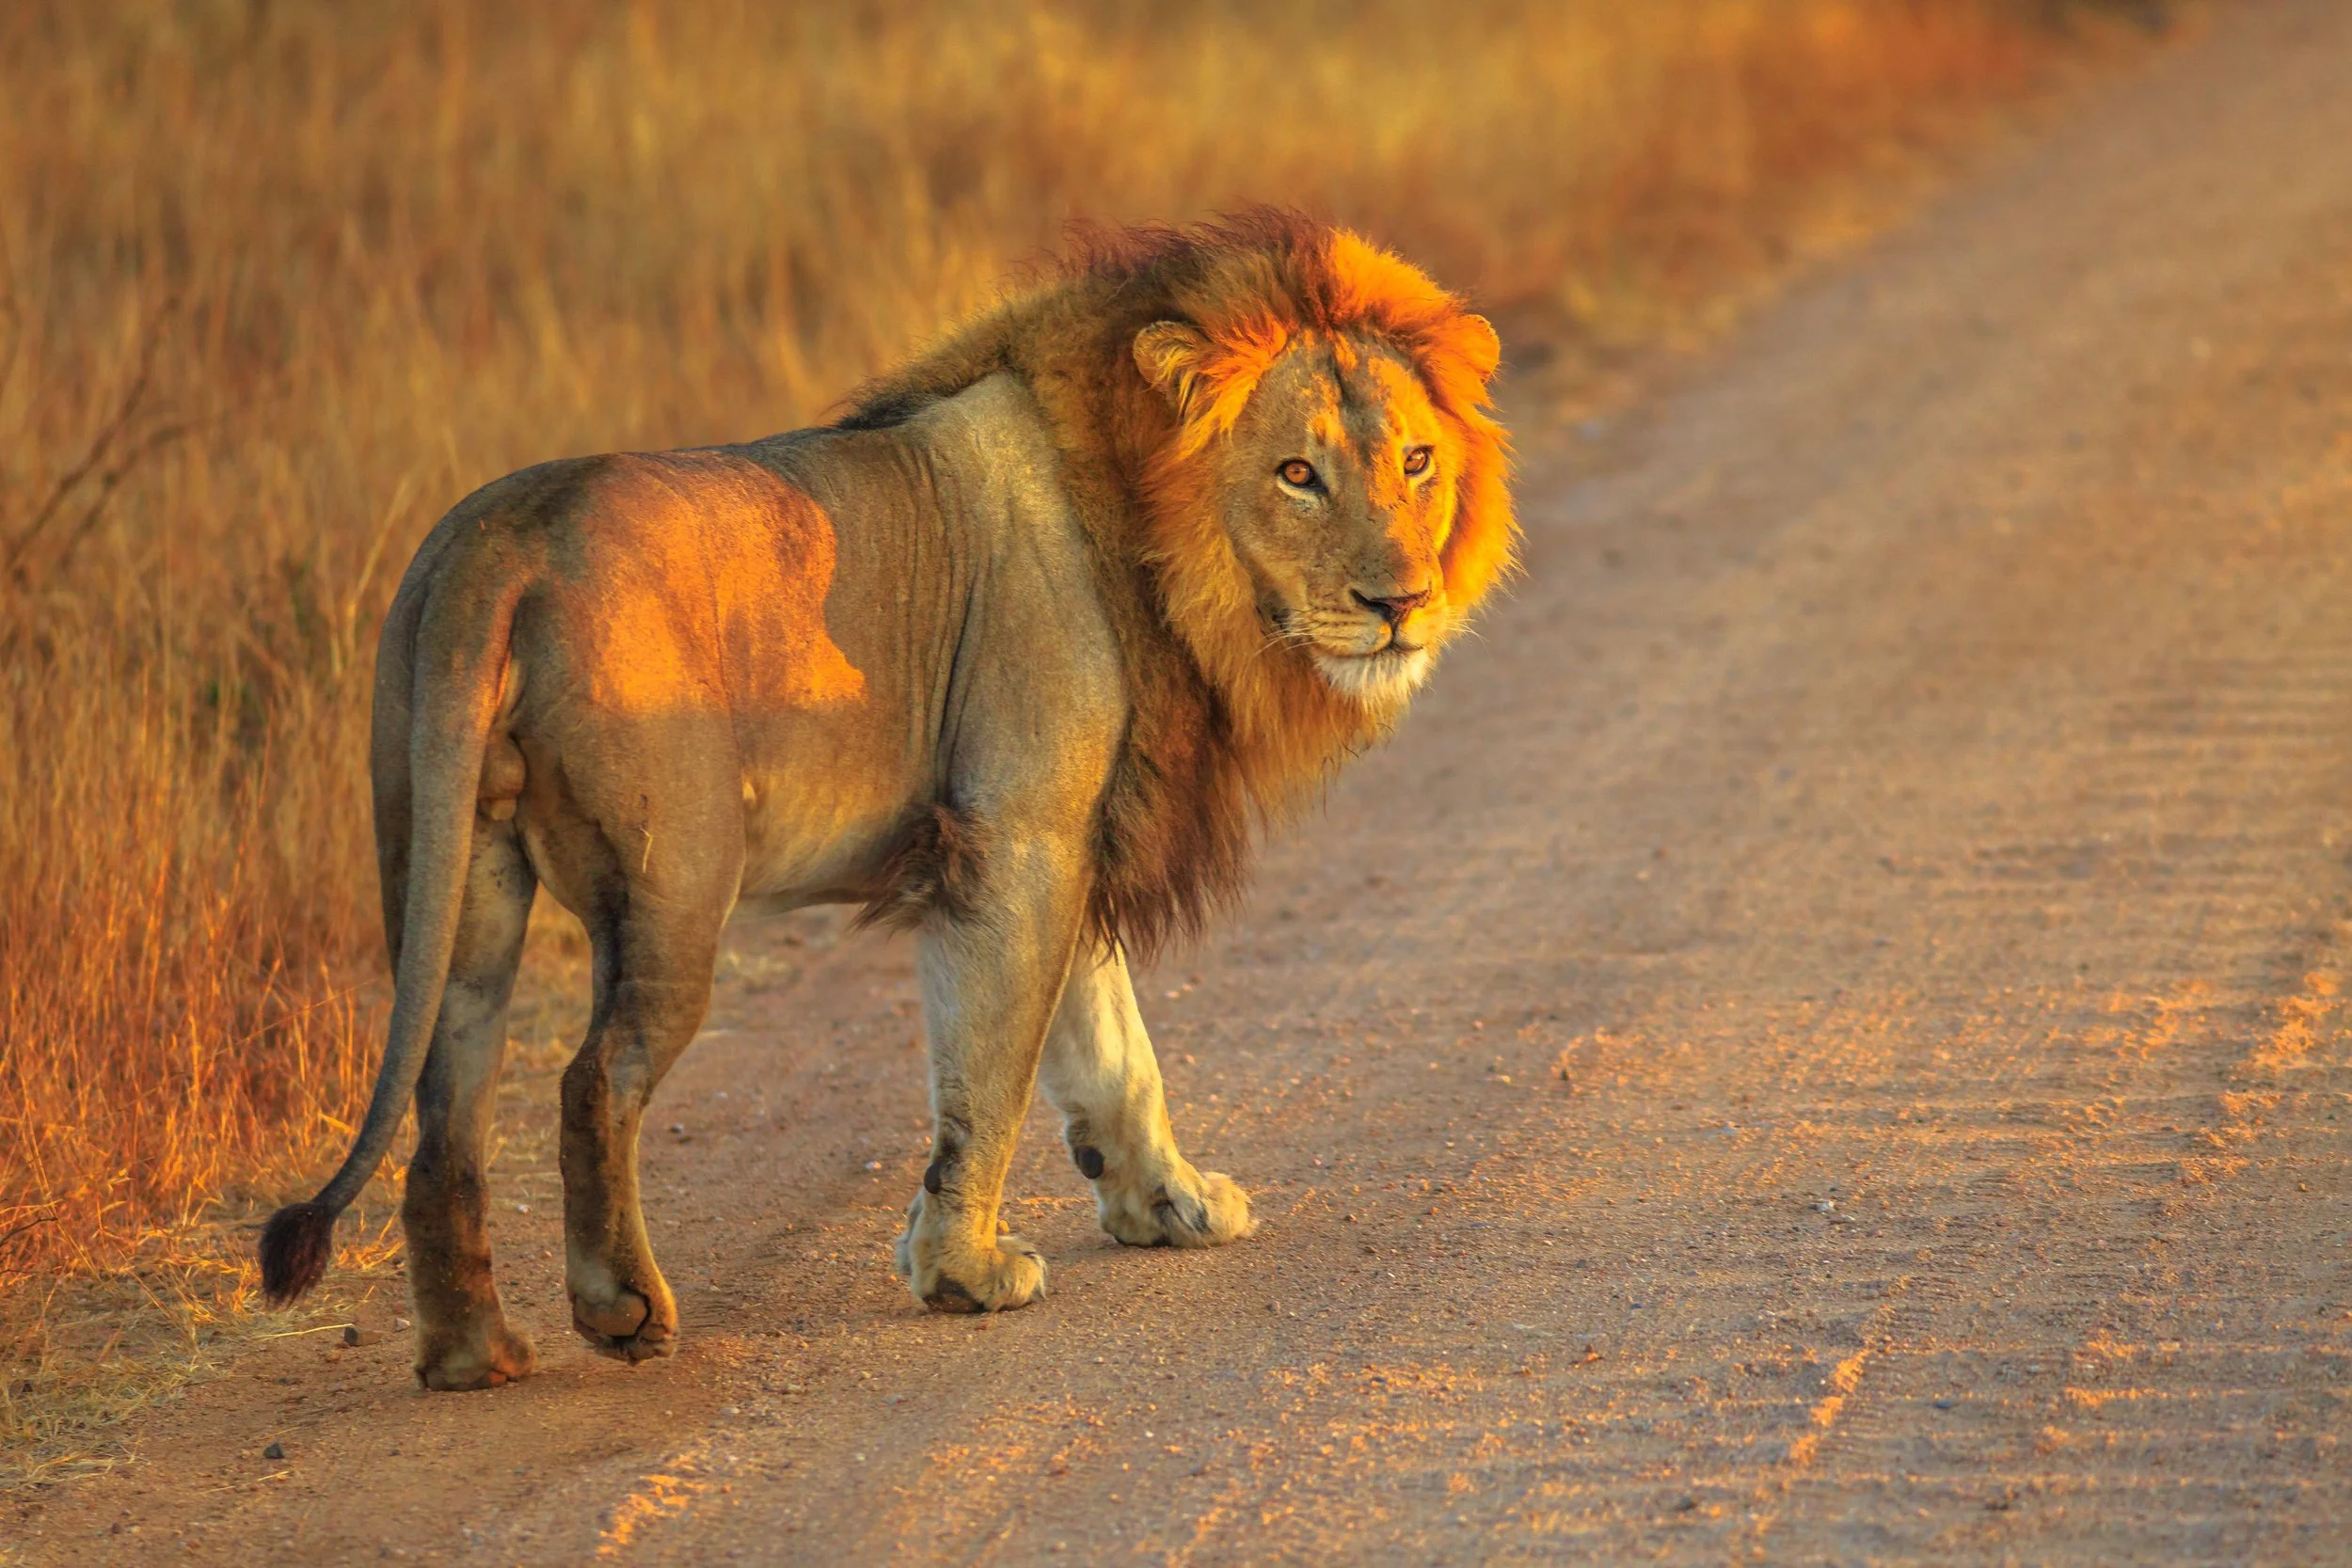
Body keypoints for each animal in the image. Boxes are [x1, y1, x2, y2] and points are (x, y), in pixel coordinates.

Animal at [259, 210, 1514, 1390]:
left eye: (1415, 460)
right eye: (1297, 473)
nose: (1402, 601)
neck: (1159, 533)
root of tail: (499, 542)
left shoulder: (1073, 831)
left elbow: (1110, 1045)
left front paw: (1168, 1202)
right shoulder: (1017, 834)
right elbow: (992, 1067)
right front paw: (965, 1271)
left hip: (456, 875)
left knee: (445, 1110)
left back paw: (472, 1352)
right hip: (673, 886)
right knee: (591, 1080)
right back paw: (621, 1307)